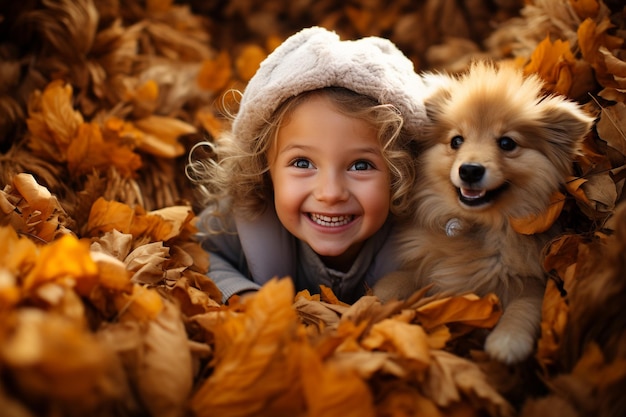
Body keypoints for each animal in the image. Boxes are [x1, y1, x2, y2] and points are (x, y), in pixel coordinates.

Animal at [372, 60, 592, 362]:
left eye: (507, 143)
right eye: (456, 141)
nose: (470, 170)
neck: (478, 225)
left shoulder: (535, 279)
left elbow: (526, 305)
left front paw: (507, 341)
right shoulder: (423, 266)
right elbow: (395, 280)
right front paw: (368, 303)